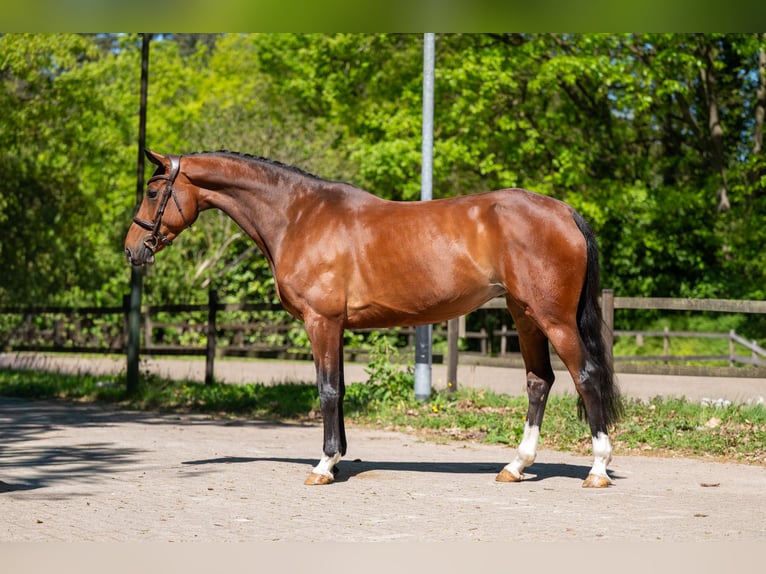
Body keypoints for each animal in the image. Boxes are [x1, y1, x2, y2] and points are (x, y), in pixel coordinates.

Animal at [125, 150, 622, 488]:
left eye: (152, 192)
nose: (132, 249)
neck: (298, 216)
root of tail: (564, 212)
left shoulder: (321, 322)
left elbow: (326, 390)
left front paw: (323, 466)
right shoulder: (336, 327)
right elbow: (340, 389)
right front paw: (339, 458)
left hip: (554, 319)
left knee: (585, 376)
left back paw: (597, 468)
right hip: (525, 316)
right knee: (540, 382)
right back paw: (515, 466)